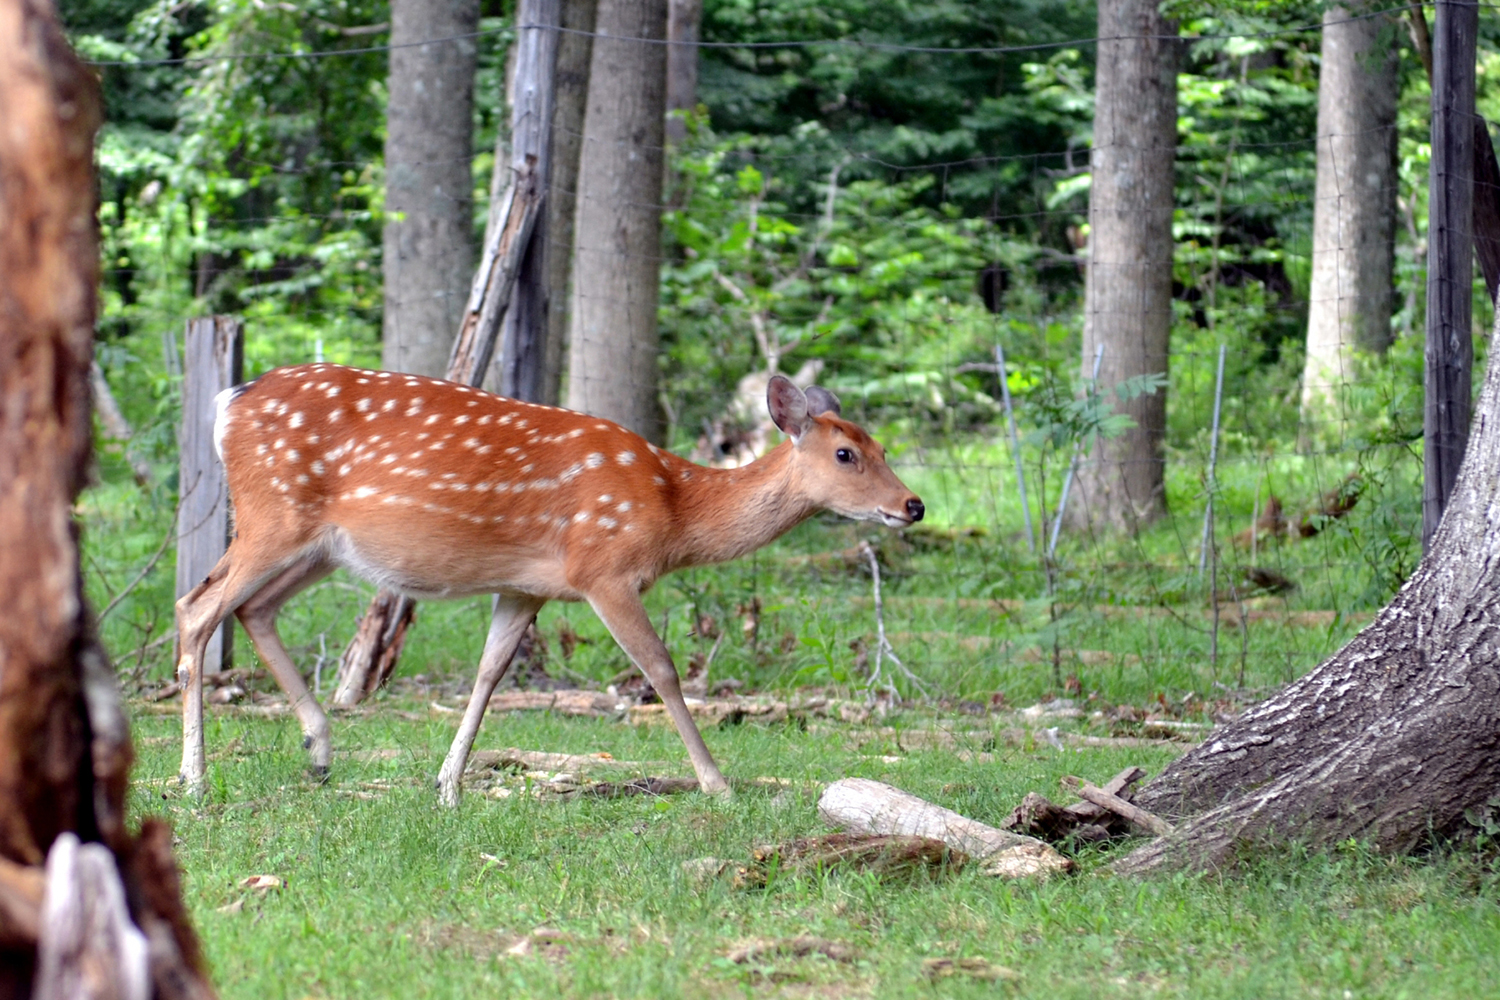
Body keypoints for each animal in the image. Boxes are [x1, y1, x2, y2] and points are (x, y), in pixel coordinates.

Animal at [178, 364, 924, 803]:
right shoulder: (604, 568)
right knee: (196, 608)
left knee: (252, 610)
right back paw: (194, 777)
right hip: (273, 512)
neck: (673, 510)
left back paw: (319, 750)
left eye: (882, 445)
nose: (913, 505)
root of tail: (227, 402)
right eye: (845, 453)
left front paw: (448, 786)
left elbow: (488, 673)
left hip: (322, 545)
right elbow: (661, 669)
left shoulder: (527, 585)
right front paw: (717, 784)